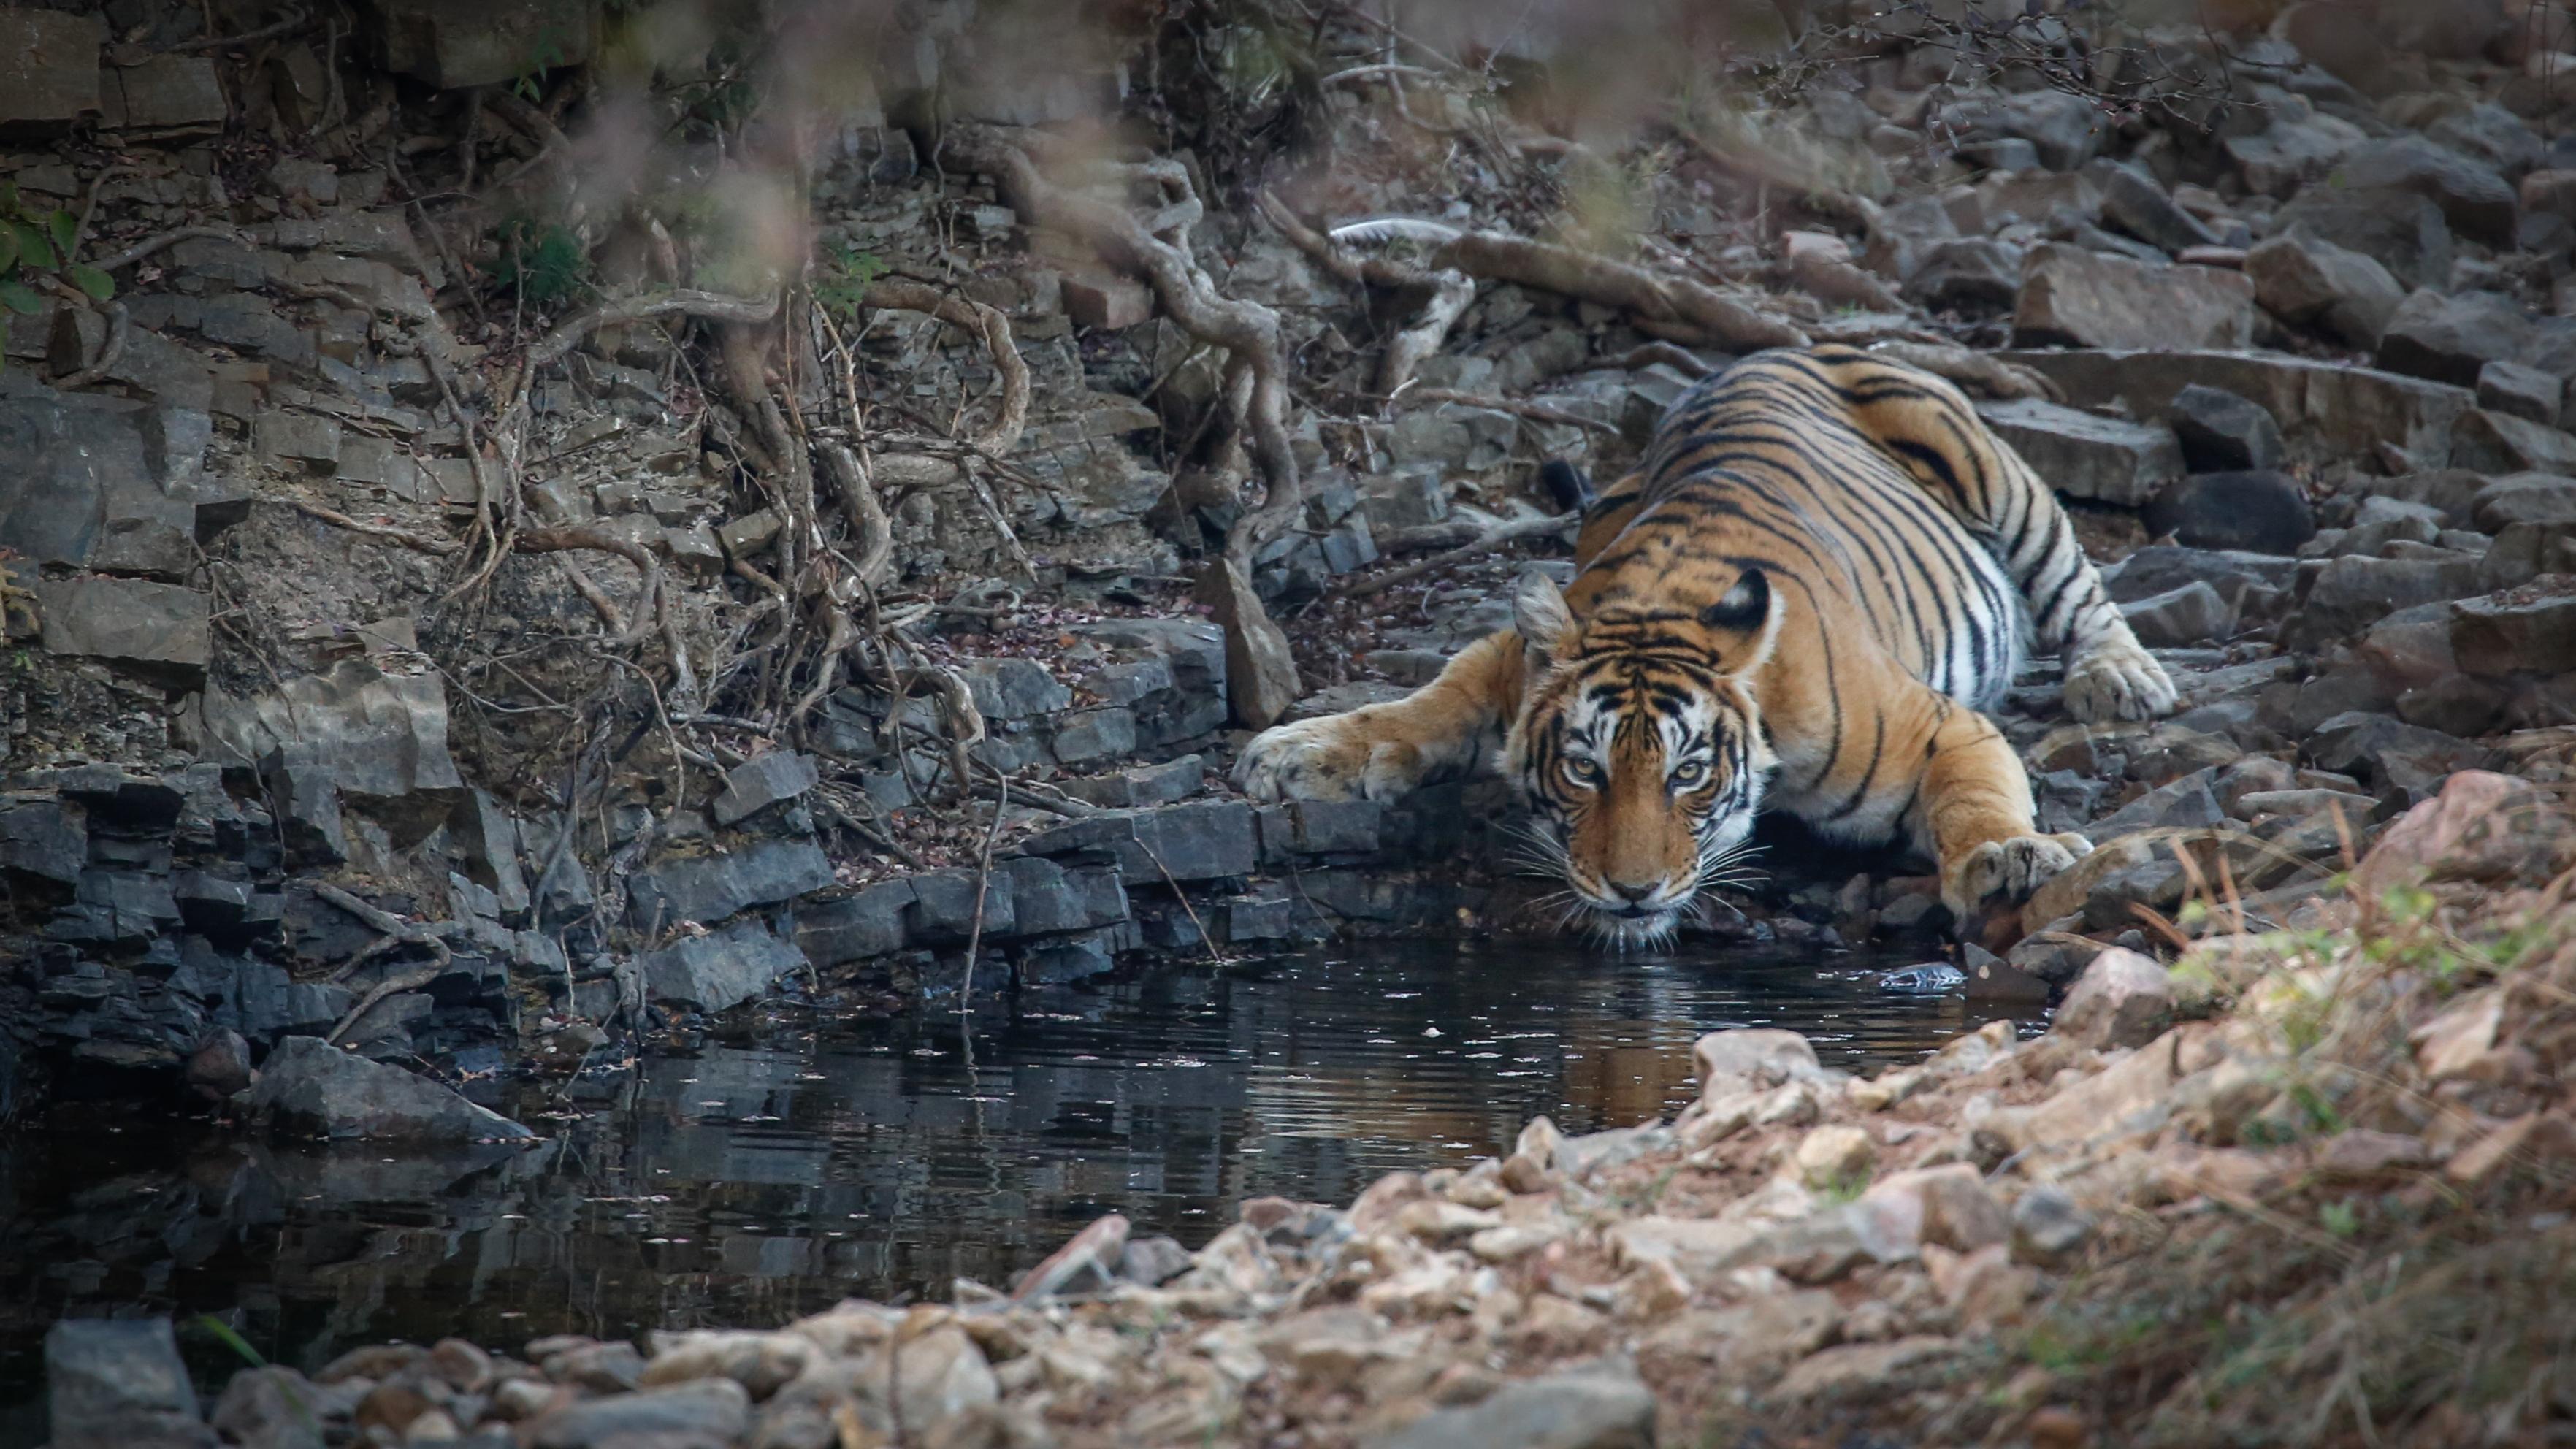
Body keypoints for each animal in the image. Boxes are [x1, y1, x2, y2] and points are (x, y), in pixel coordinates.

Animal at [1234, 344, 2178, 945]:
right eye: (1583, 770)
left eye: (1688, 774)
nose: (1633, 892)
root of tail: (1776, 347)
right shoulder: (1511, 656)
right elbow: (1425, 703)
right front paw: (1297, 752)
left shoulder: (1938, 724)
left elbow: (1971, 797)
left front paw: (2009, 859)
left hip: (1989, 468)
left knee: (2078, 583)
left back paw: (2121, 678)